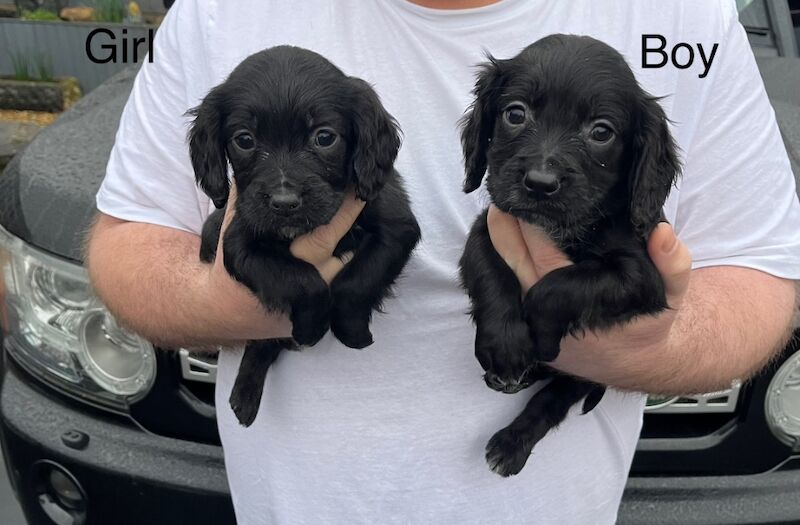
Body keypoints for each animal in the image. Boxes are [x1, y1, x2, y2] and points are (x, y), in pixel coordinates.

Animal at [191, 46, 422, 426]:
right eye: (244, 140)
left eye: (324, 137)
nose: (284, 203)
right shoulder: (240, 242)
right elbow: (301, 280)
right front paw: (311, 327)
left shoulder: (395, 227)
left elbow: (354, 284)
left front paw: (353, 331)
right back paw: (244, 395)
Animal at [460, 33, 680, 474]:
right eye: (515, 113)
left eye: (601, 132)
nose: (540, 183)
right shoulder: (487, 228)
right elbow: (490, 272)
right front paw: (504, 344)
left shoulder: (641, 277)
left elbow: (556, 287)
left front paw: (539, 335)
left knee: (551, 401)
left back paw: (510, 445)